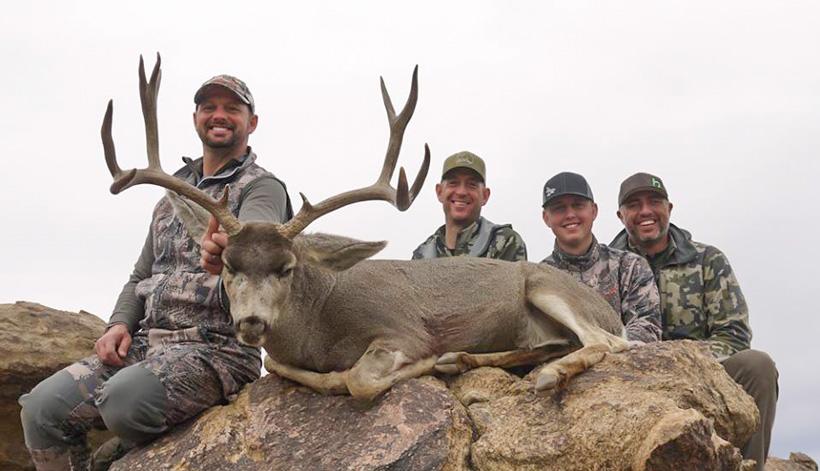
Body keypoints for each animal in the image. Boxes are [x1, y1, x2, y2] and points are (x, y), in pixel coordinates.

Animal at [100, 55, 629, 401]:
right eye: (227, 265)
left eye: (287, 267)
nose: (251, 322)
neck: (321, 322)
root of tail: (608, 311)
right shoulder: (285, 355)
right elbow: (284, 366)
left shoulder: (402, 329)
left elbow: (358, 380)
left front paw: (423, 363)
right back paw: (471, 360)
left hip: (546, 285)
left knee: (609, 343)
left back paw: (539, 373)